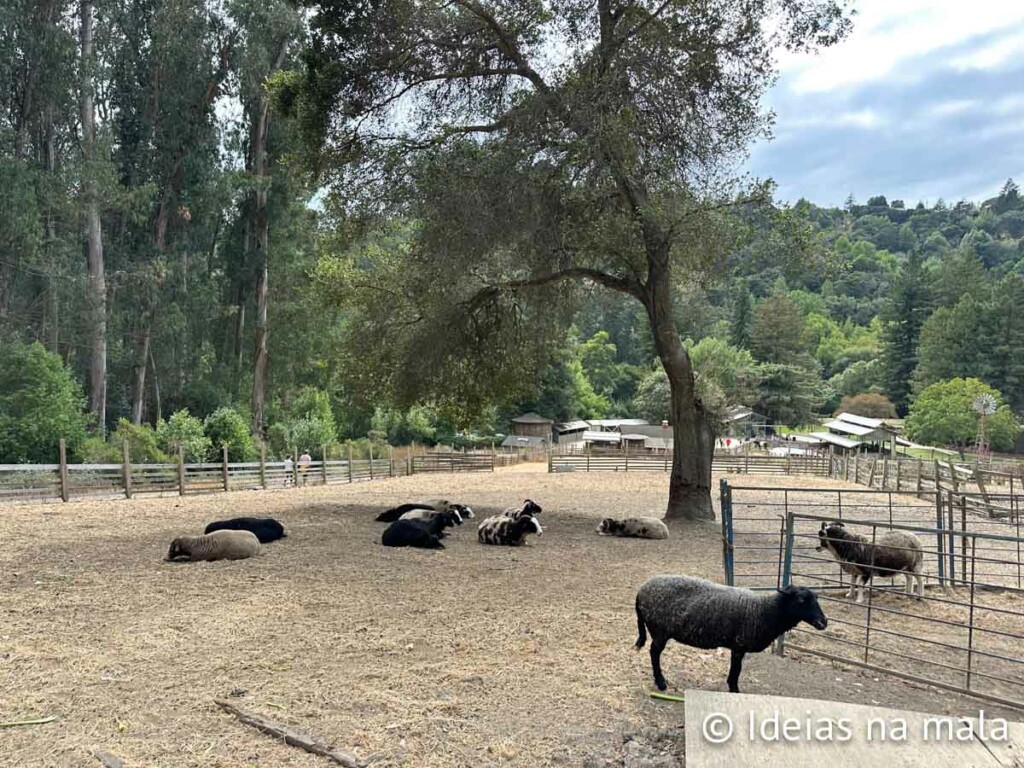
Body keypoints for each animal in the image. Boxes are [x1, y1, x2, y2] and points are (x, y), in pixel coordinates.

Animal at [634, 577, 827, 696]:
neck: (764, 611)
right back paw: (661, 682)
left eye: (817, 598)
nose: (823, 622)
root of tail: (640, 591)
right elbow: (736, 670)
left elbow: (735, 669)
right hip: (659, 630)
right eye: (801, 600)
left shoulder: (737, 647)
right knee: (654, 653)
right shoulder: (740, 645)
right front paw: (734, 690)